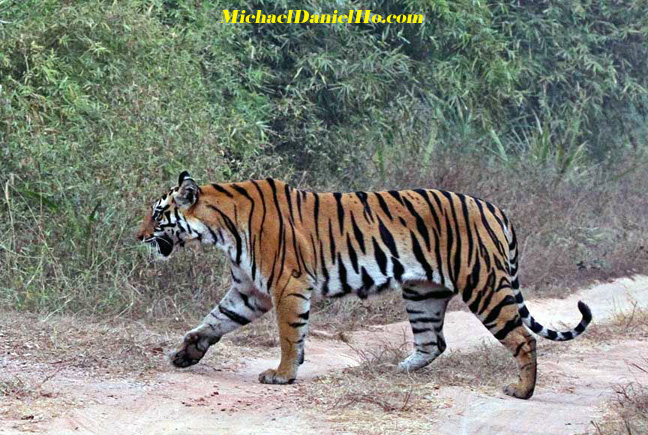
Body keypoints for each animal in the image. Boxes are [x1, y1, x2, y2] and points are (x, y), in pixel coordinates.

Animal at [137, 172, 592, 400]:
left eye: (157, 215)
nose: (137, 235)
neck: (220, 229)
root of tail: (496, 208)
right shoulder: (251, 291)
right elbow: (212, 321)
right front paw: (185, 354)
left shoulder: (286, 285)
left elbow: (289, 336)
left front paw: (283, 375)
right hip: (423, 292)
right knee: (433, 342)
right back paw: (398, 370)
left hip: (484, 285)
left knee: (523, 338)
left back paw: (522, 391)